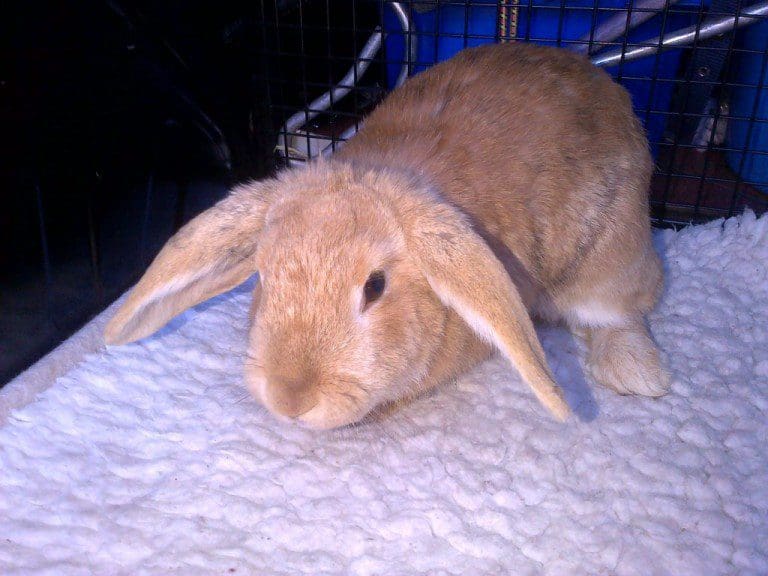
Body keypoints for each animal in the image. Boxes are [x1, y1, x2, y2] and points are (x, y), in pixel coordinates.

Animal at [104, 43, 668, 430]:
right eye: (263, 277)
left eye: (374, 287)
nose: (291, 400)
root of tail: (603, 81)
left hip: (611, 254)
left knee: (620, 311)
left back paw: (637, 374)